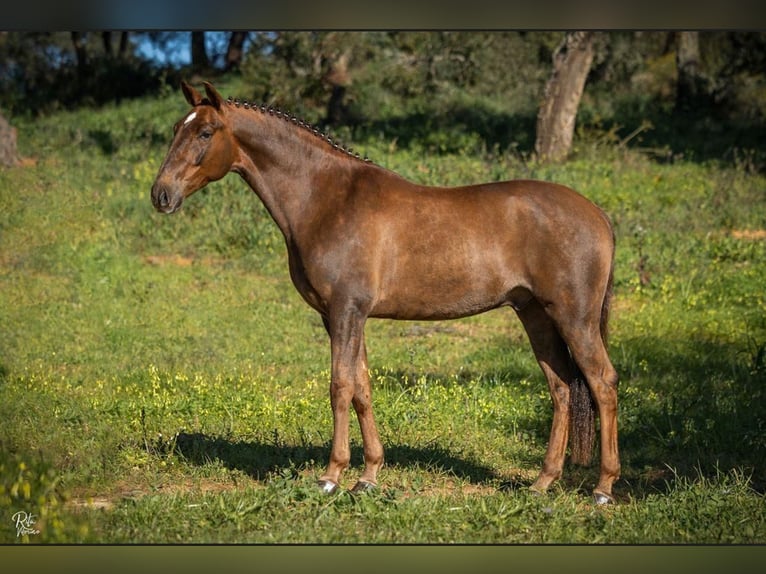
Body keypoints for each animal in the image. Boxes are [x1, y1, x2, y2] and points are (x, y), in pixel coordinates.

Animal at [153, 81, 620, 504]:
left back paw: (602, 488)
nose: (161, 194)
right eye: (177, 127)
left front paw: (331, 477)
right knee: (561, 388)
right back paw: (542, 483)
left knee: (602, 383)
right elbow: (362, 387)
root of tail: (598, 214)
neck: (327, 198)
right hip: (535, 314)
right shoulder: (342, 316)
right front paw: (368, 477)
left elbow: (340, 387)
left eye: (205, 132)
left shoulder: (346, 310)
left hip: (574, 317)